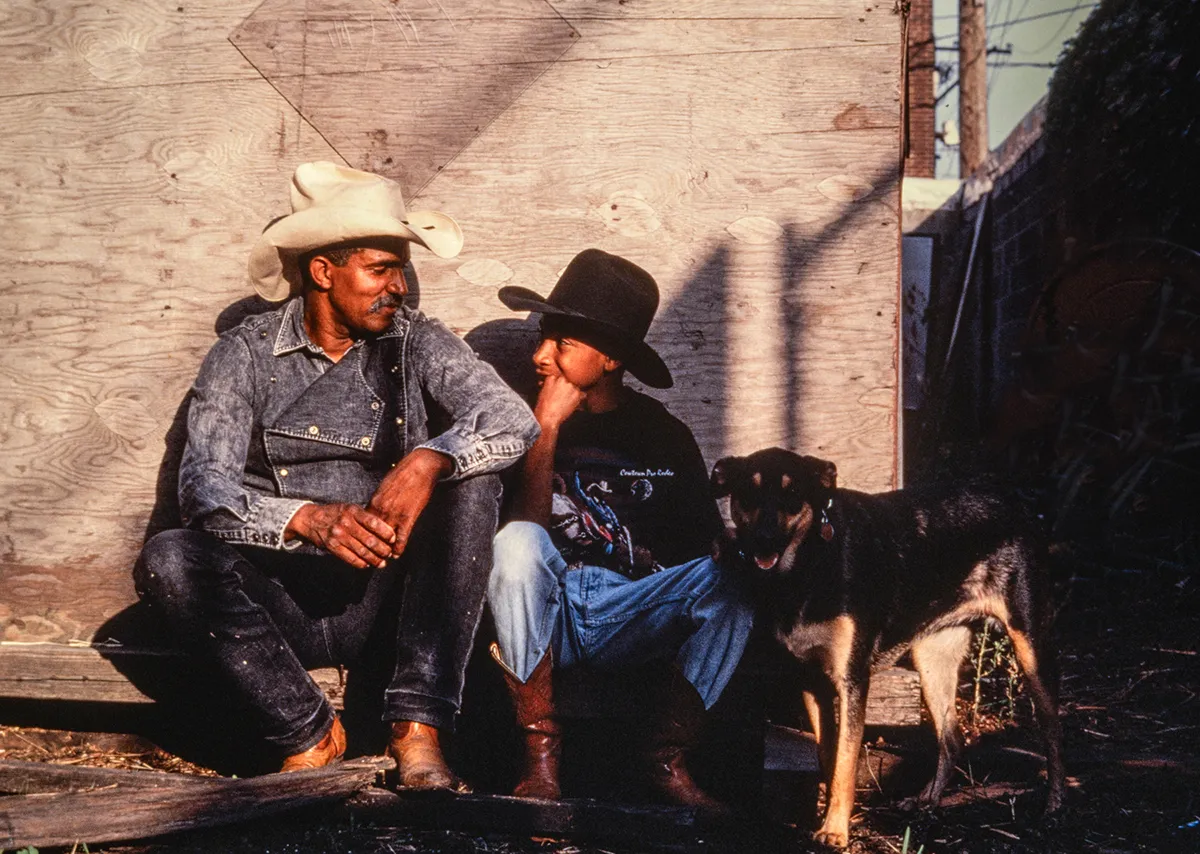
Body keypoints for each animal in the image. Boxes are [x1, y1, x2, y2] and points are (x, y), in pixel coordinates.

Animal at [705, 446, 1065, 849]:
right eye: (747, 492)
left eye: (793, 493)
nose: (764, 540)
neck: (808, 567)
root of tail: (1016, 503)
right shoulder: (812, 684)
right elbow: (829, 758)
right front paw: (828, 816)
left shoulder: (852, 681)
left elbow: (845, 763)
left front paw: (835, 830)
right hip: (933, 658)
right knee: (952, 739)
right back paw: (926, 802)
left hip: (1030, 649)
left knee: (1054, 735)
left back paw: (1053, 809)